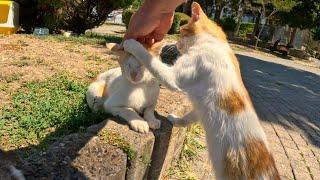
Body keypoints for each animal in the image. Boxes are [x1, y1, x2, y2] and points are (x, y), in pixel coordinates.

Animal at [124, 2, 278, 179]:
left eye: (181, 31)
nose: (176, 44)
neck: (214, 43)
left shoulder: (173, 77)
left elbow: (149, 59)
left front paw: (132, 44)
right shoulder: (202, 108)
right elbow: (187, 118)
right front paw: (175, 120)